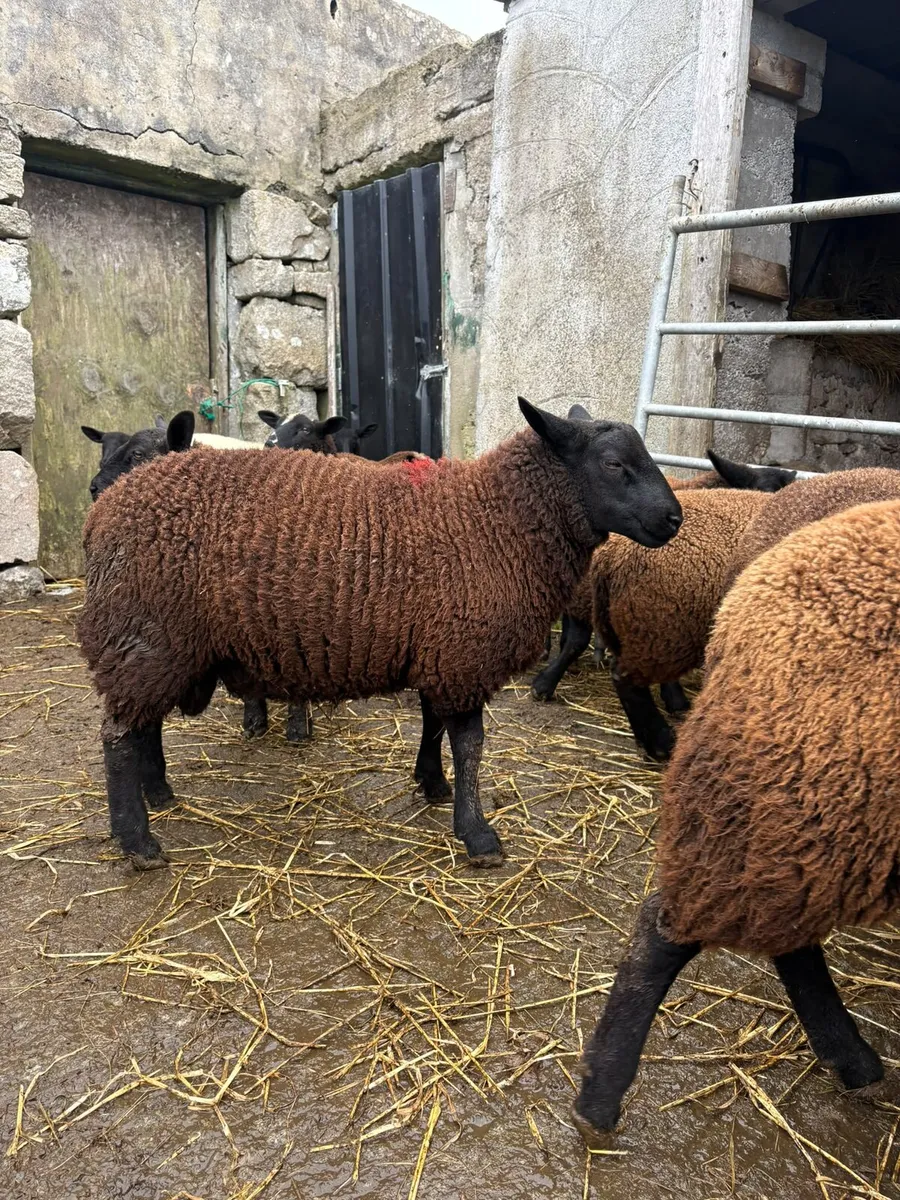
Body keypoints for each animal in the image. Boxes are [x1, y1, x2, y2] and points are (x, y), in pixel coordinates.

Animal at [77, 398, 683, 870]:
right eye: (613, 464)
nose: (675, 520)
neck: (495, 520)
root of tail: (107, 508)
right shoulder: (462, 651)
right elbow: (470, 744)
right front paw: (477, 834)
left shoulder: (440, 647)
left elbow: (435, 725)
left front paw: (431, 784)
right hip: (145, 632)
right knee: (118, 737)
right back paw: (138, 841)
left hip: (155, 641)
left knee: (141, 725)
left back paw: (158, 796)